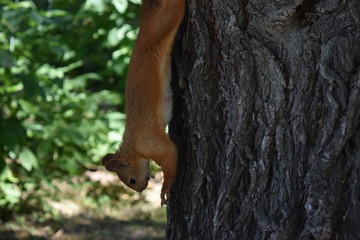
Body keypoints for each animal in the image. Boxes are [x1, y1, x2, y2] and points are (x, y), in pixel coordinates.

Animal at [101, 0, 186, 205]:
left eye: (131, 180)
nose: (140, 189)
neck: (133, 146)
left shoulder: (150, 142)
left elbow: (171, 156)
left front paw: (164, 190)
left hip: (167, 19)